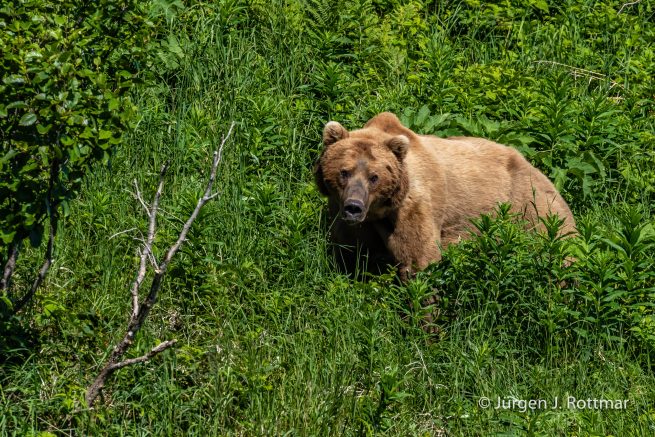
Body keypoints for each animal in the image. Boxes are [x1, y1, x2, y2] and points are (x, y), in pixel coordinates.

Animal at [314, 112, 576, 280]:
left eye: (374, 176)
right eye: (344, 171)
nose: (354, 206)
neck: (378, 213)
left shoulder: (413, 205)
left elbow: (419, 260)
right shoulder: (345, 216)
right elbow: (351, 255)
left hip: (530, 207)